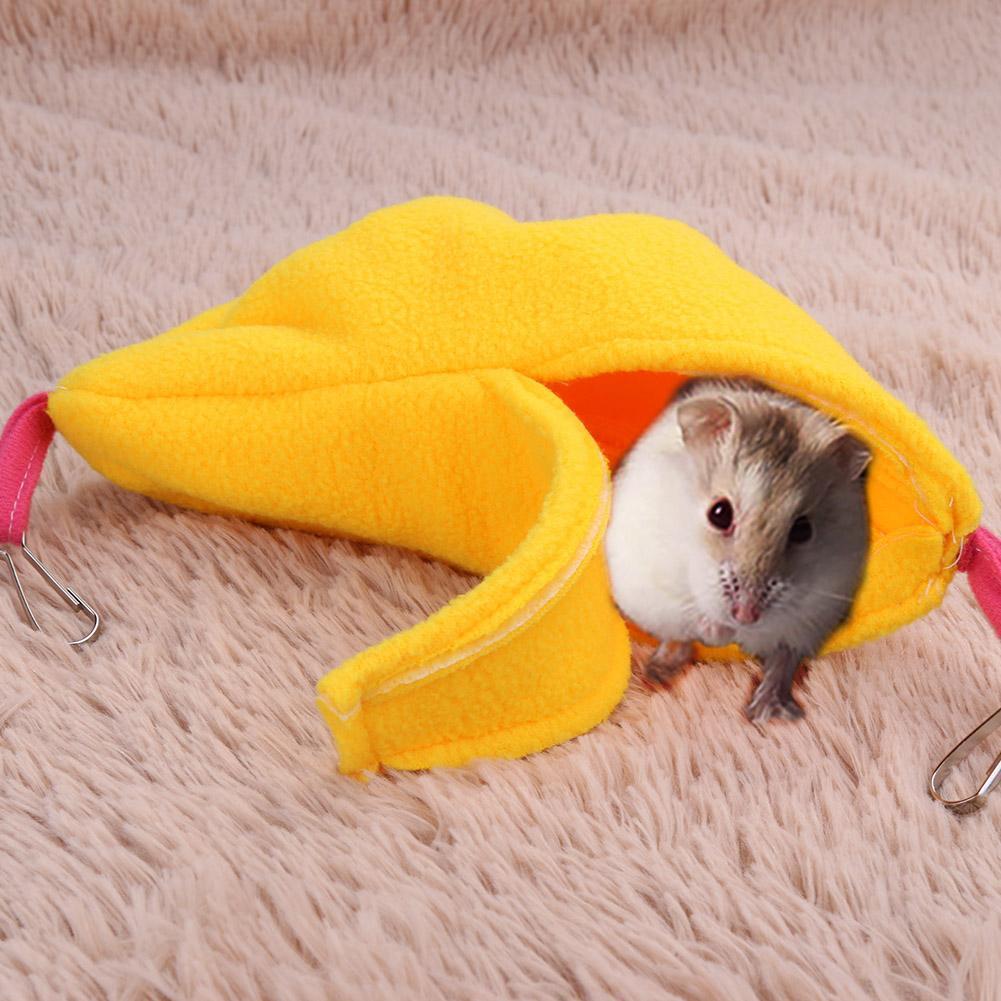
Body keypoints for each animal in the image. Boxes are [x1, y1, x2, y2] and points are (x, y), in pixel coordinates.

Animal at [604, 377, 871, 722]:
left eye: (803, 530)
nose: (746, 616)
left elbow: (783, 648)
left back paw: (769, 710)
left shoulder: (817, 607)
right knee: (677, 636)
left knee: (784, 658)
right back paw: (658, 671)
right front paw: (717, 631)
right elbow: (694, 614)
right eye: (719, 513)